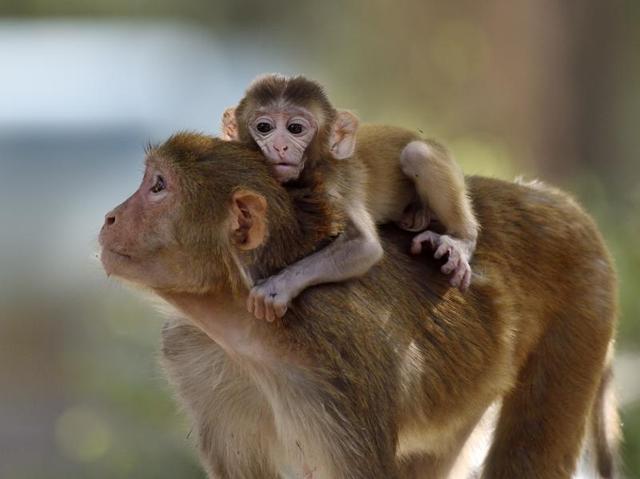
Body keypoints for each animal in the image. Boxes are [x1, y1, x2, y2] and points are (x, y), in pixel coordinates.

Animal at [99, 132, 619, 478]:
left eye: (158, 186)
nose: (110, 217)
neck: (246, 333)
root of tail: (559, 202)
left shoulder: (343, 371)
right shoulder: (192, 355)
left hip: (586, 304)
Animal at [222, 74, 479, 321]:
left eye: (295, 128)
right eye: (264, 127)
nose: (279, 146)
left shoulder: (332, 184)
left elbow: (364, 244)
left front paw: (277, 287)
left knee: (417, 153)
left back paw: (461, 240)